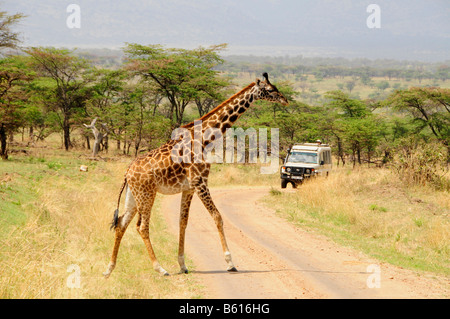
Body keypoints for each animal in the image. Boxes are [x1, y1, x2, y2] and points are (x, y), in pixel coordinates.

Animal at [103, 74, 288, 278]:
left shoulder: (189, 188)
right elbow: (217, 217)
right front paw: (230, 263)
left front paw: (183, 265)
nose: (285, 100)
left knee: (121, 224)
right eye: (270, 90)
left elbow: (183, 222)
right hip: (146, 194)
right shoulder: (200, 182)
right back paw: (160, 268)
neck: (206, 138)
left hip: (133, 196)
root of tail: (127, 172)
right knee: (142, 227)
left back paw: (109, 269)